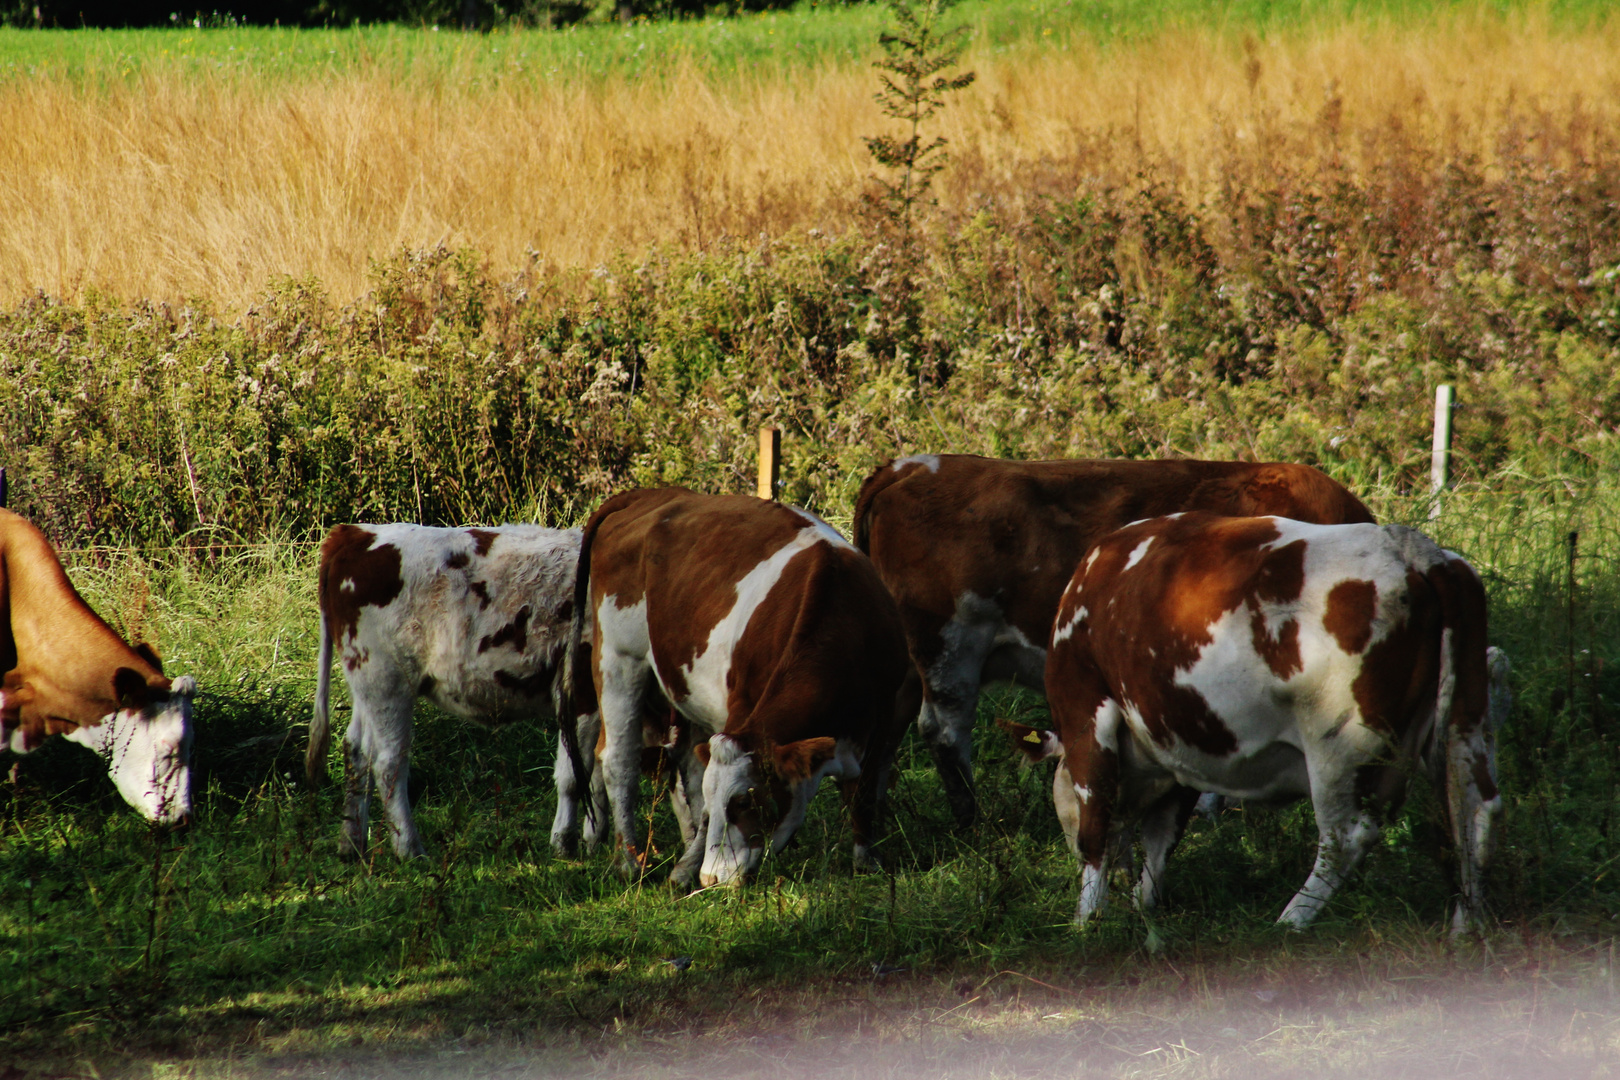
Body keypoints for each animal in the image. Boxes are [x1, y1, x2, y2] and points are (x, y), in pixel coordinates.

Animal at [306, 524, 586, 861]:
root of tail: (357, 533)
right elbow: (577, 774)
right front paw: (568, 844)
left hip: (366, 683)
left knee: (357, 750)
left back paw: (351, 843)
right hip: (387, 679)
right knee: (388, 763)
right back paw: (409, 849)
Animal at [567, 488, 926, 887]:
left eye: (744, 801)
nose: (714, 878)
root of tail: (651, 495)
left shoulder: (884, 714)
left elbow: (863, 789)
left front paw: (867, 859)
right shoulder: (739, 707)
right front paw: (688, 867)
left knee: (683, 761)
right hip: (618, 657)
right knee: (619, 759)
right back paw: (630, 861)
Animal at [855, 453, 1373, 829]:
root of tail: (910, 465)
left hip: (908, 659)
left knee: (884, 730)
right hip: (949, 643)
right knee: (943, 731)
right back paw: (971, 825)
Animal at [1010, 511, 1503, 932]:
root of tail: (1406, 546)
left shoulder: (1086, 713)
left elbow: (1096, 826)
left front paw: (1087, 920)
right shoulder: (1182, 742)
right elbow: (1160, 839)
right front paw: (1143, 905)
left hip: (1341, 740)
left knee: (1347, 836)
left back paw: (1291, 921)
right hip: (1463, 718)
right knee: (1474, 804)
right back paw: (1467, 924)